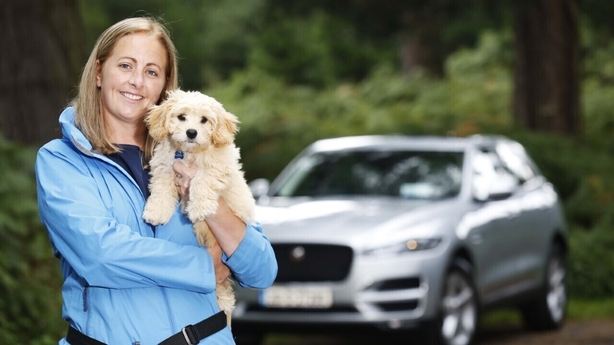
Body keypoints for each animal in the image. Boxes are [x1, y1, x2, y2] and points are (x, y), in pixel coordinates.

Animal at [143, 88, 256, 326]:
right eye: (181, 117)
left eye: (204, 120)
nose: (192, 132)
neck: (189, 153)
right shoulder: (165, 167)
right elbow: (161, 188)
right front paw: (156, 212)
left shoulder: (217, 167)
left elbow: (202, 180)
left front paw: (200, 208)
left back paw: (225, 301)